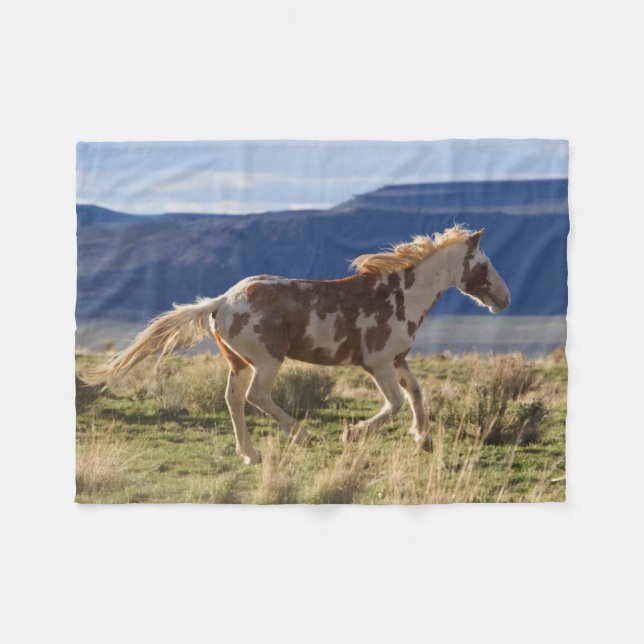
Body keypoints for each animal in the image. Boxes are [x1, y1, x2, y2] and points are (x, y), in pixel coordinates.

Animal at [86, 226, 510, 464]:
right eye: (485, 265)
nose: (504, 300)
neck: (401, 295)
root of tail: (221, 302)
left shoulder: (398, 360)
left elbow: (417, 395)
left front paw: (422, 439)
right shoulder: (377, 363)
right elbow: (393, 404)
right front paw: (352, 433)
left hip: (239, 362)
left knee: (233, 399)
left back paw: (249, 454)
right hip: (267, 360)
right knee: (257, 397)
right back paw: (304, 436)